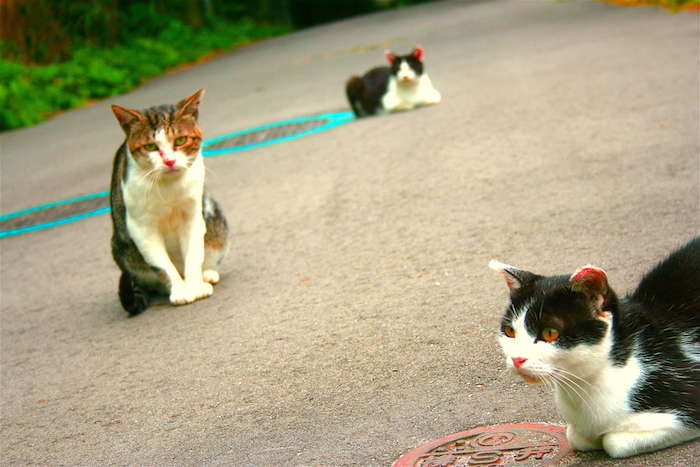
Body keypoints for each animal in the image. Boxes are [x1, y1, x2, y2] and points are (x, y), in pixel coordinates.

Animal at [109, 88, 228, 316]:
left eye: (180, 140)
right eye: (149, 146)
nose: (170, 161)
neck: (168, 188)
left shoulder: (193, 215)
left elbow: (194, 254)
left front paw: (195, 286)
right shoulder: (141, 227)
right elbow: (161, 264)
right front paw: (180, 291)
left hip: (217, 222)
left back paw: (206, 274)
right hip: (121, 245)